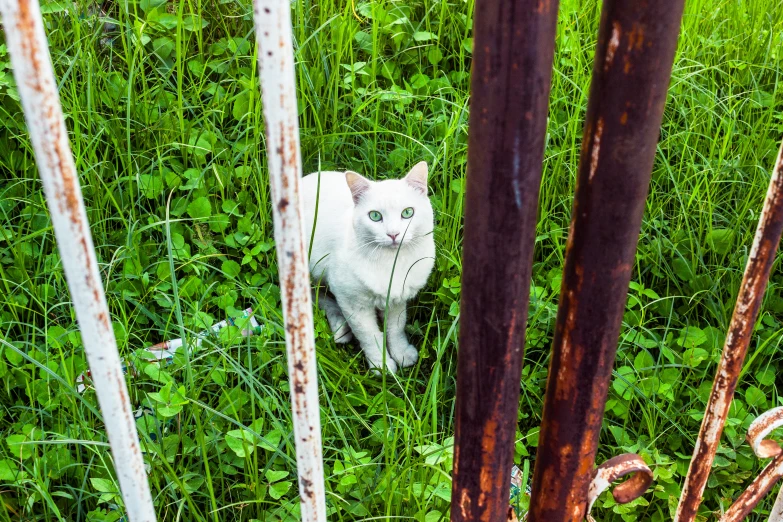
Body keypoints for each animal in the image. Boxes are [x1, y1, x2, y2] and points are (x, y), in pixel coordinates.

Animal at [302, 161, 438, 370]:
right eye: (375, 216)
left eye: (408, 213)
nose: (393, 234)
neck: (391, 262)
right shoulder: (352, 304)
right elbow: (370, 336)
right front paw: (381, 366)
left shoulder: (398, 299)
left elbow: (396, 328)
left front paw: (401, 354)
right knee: (318, 298)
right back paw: (340, 326)